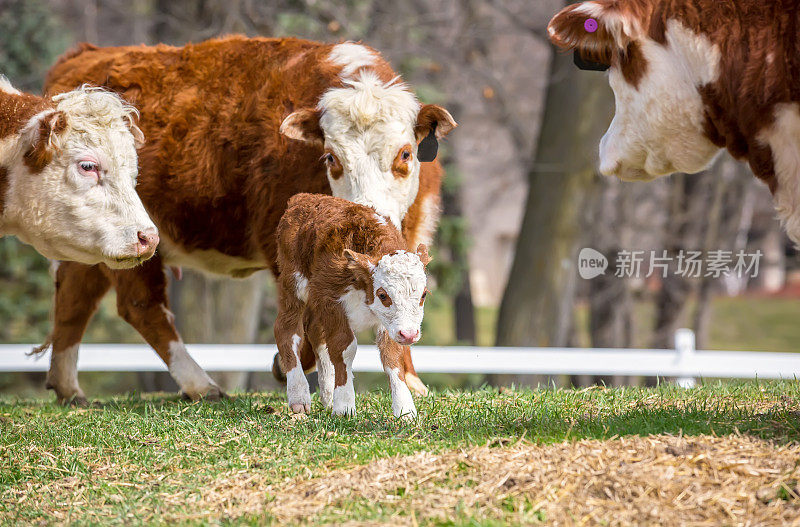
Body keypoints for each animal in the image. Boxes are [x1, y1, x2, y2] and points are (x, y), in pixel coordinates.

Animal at [276, 192, 428, 418]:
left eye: (424, 294)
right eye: (382, 294)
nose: (409, 334)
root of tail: (302, 198)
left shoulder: (388, 322)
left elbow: (391, 352)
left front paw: (405, 409)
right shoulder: (331, 301)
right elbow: (344, 347)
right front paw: (344, 406)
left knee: (316, 334)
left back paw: (328, 394)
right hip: (293, 285)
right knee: (287, 330)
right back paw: (299, 396)